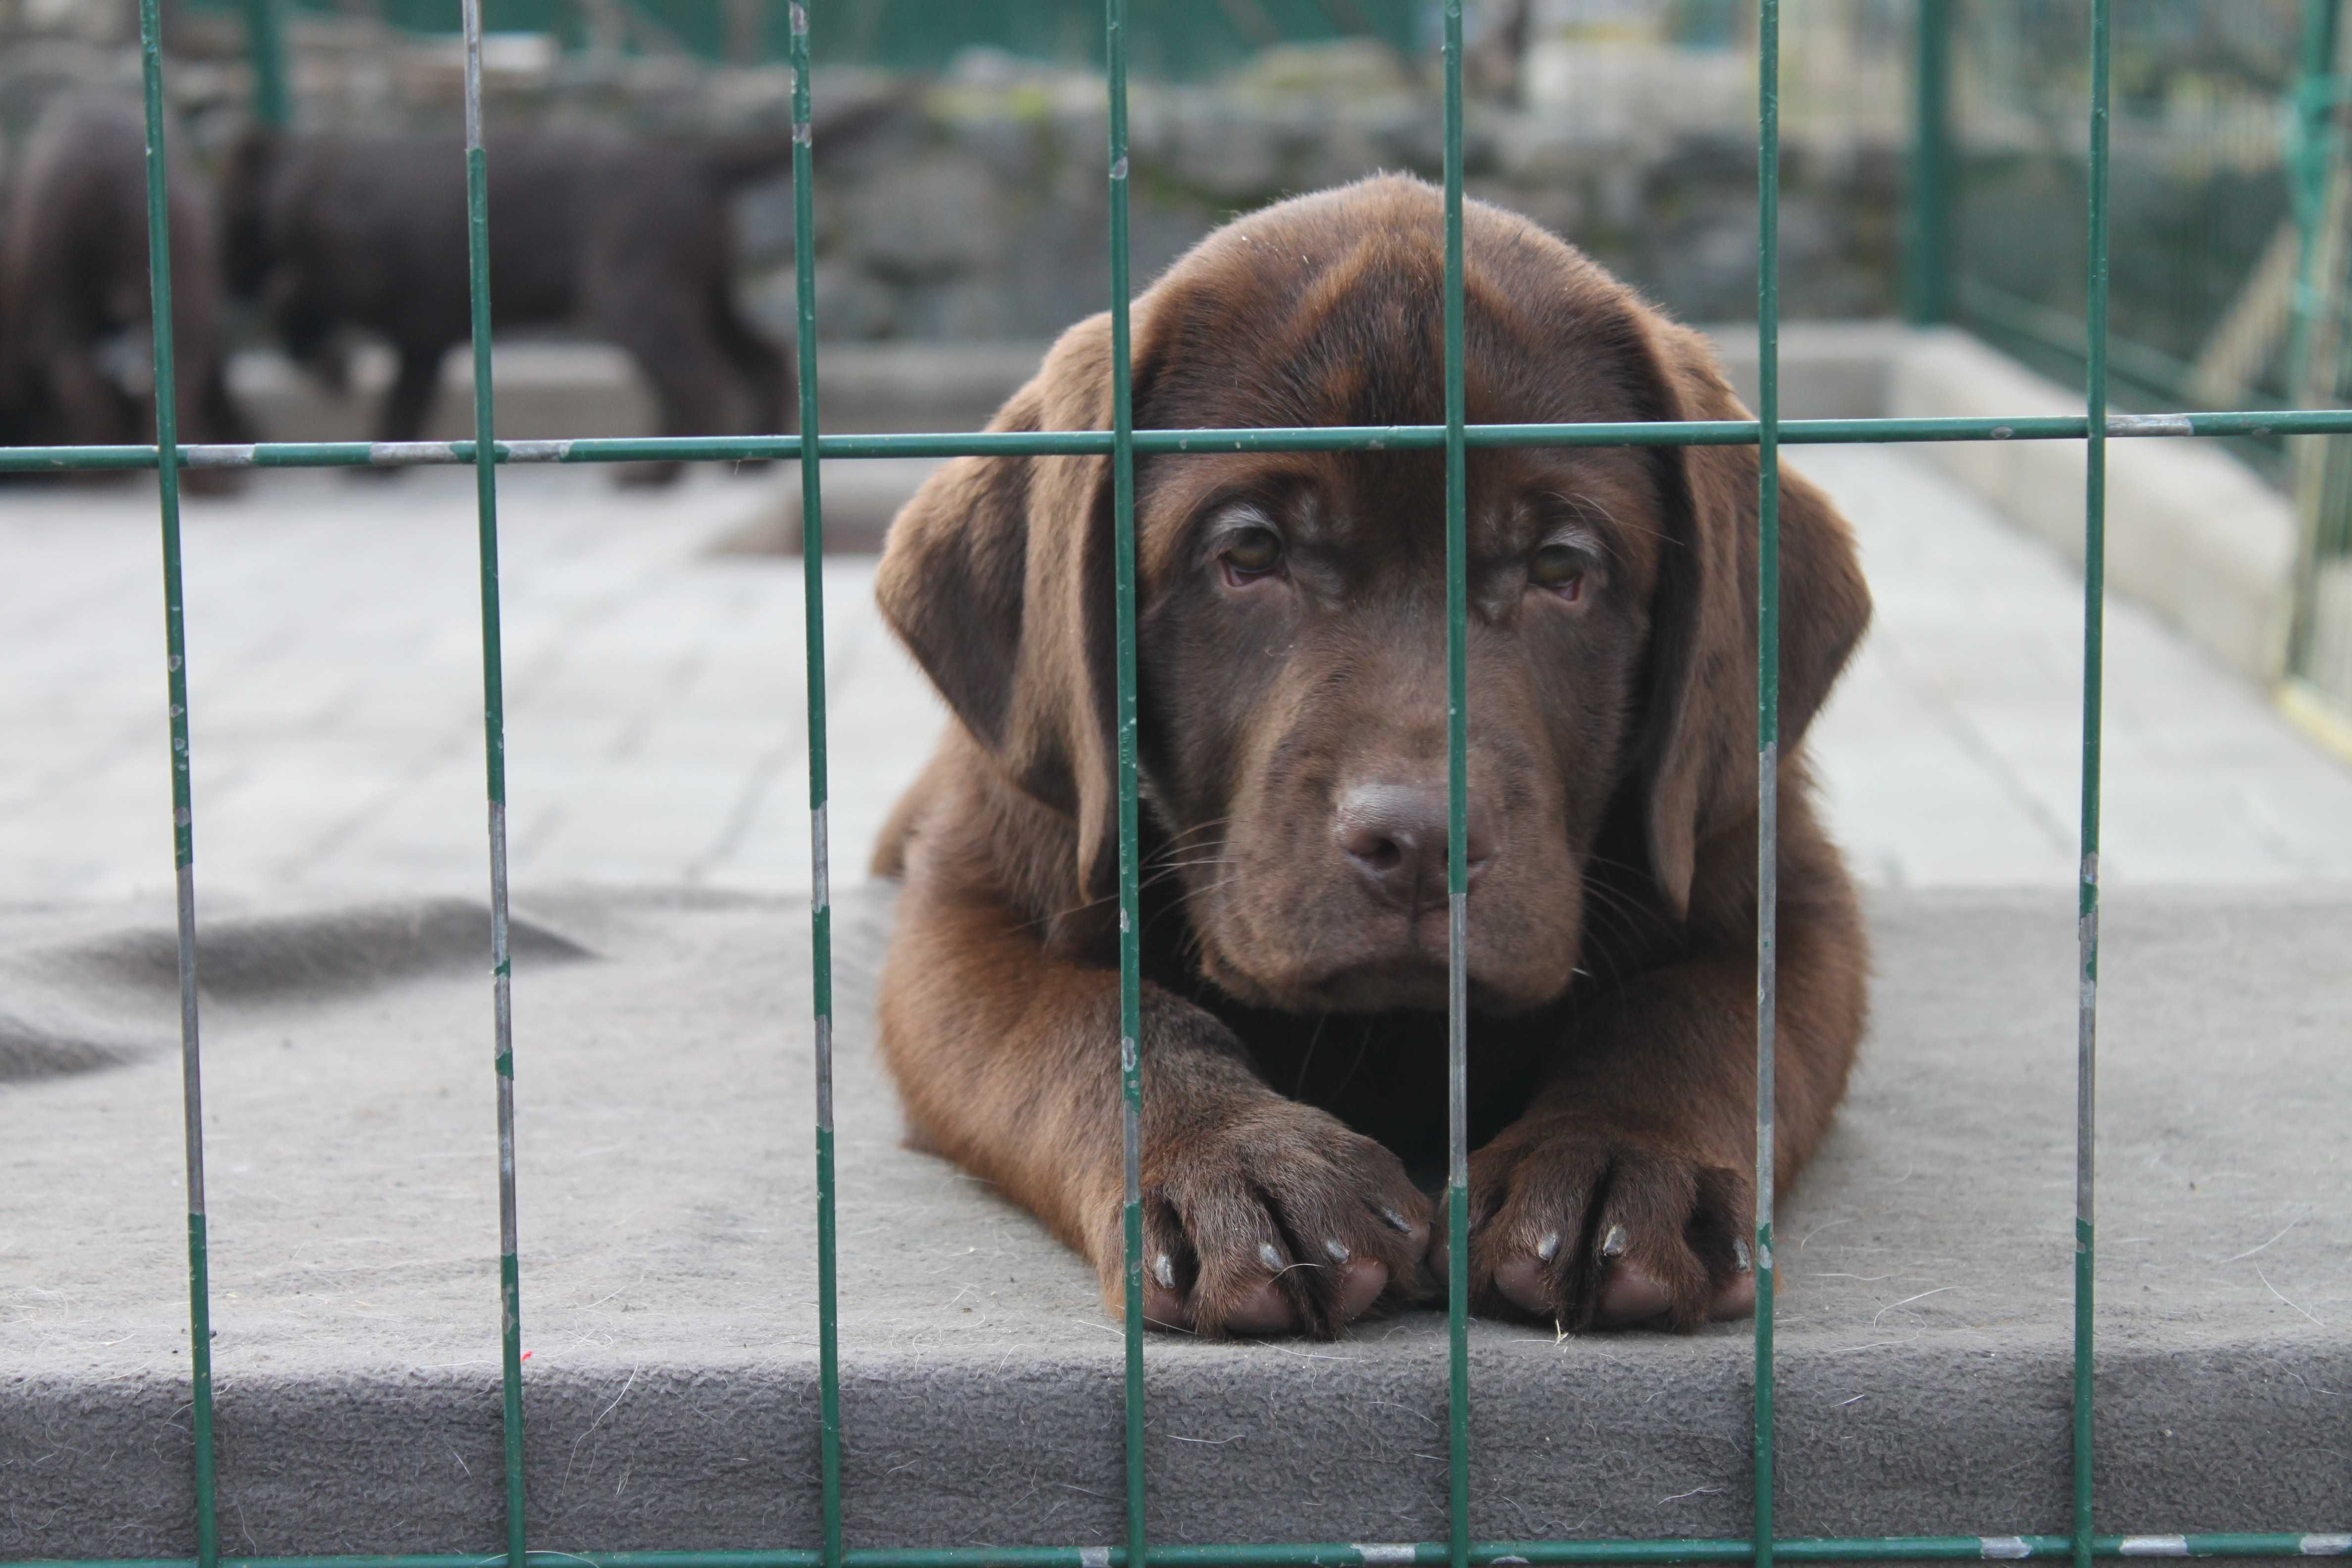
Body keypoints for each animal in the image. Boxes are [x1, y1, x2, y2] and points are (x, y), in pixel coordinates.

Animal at [865, 177, 1872, 1344]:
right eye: (1250, 552)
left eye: (1560, 566)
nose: (1421, 843)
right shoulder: (973, 904)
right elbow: (1087, 1026)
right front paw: (1239, 1164)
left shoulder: (1777, 881)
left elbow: (1695, 1016)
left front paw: (1620, 1159)